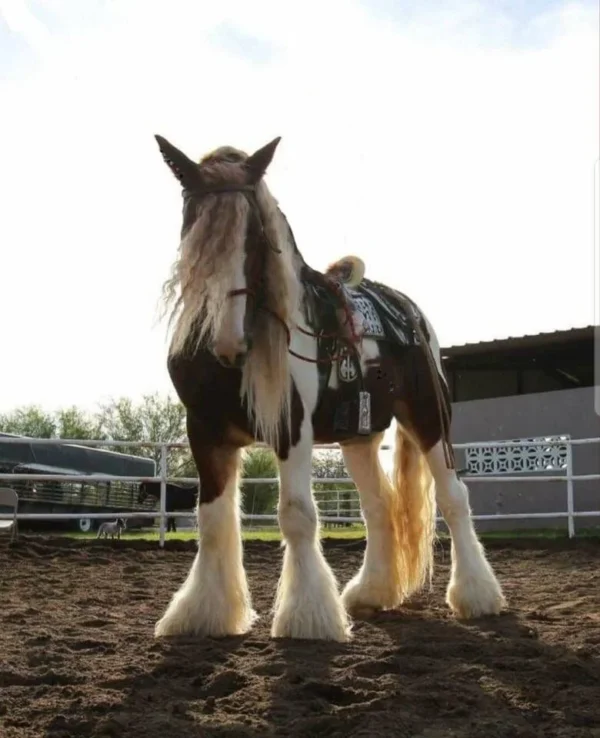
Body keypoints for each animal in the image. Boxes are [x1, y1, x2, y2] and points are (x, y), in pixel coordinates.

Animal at [151, 134, 506, 642]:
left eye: (255, 236)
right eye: (193, 226)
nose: (229, 342)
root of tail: (406, 308)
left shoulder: (291, 429)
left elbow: (297, 515)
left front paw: (307, 618)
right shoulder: (205, 433)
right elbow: (213, 520)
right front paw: (203, 614)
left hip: (429, 418)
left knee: (454, 498)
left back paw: (477, 596)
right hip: (358, 437)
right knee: (378, 507)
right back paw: (373, 592)